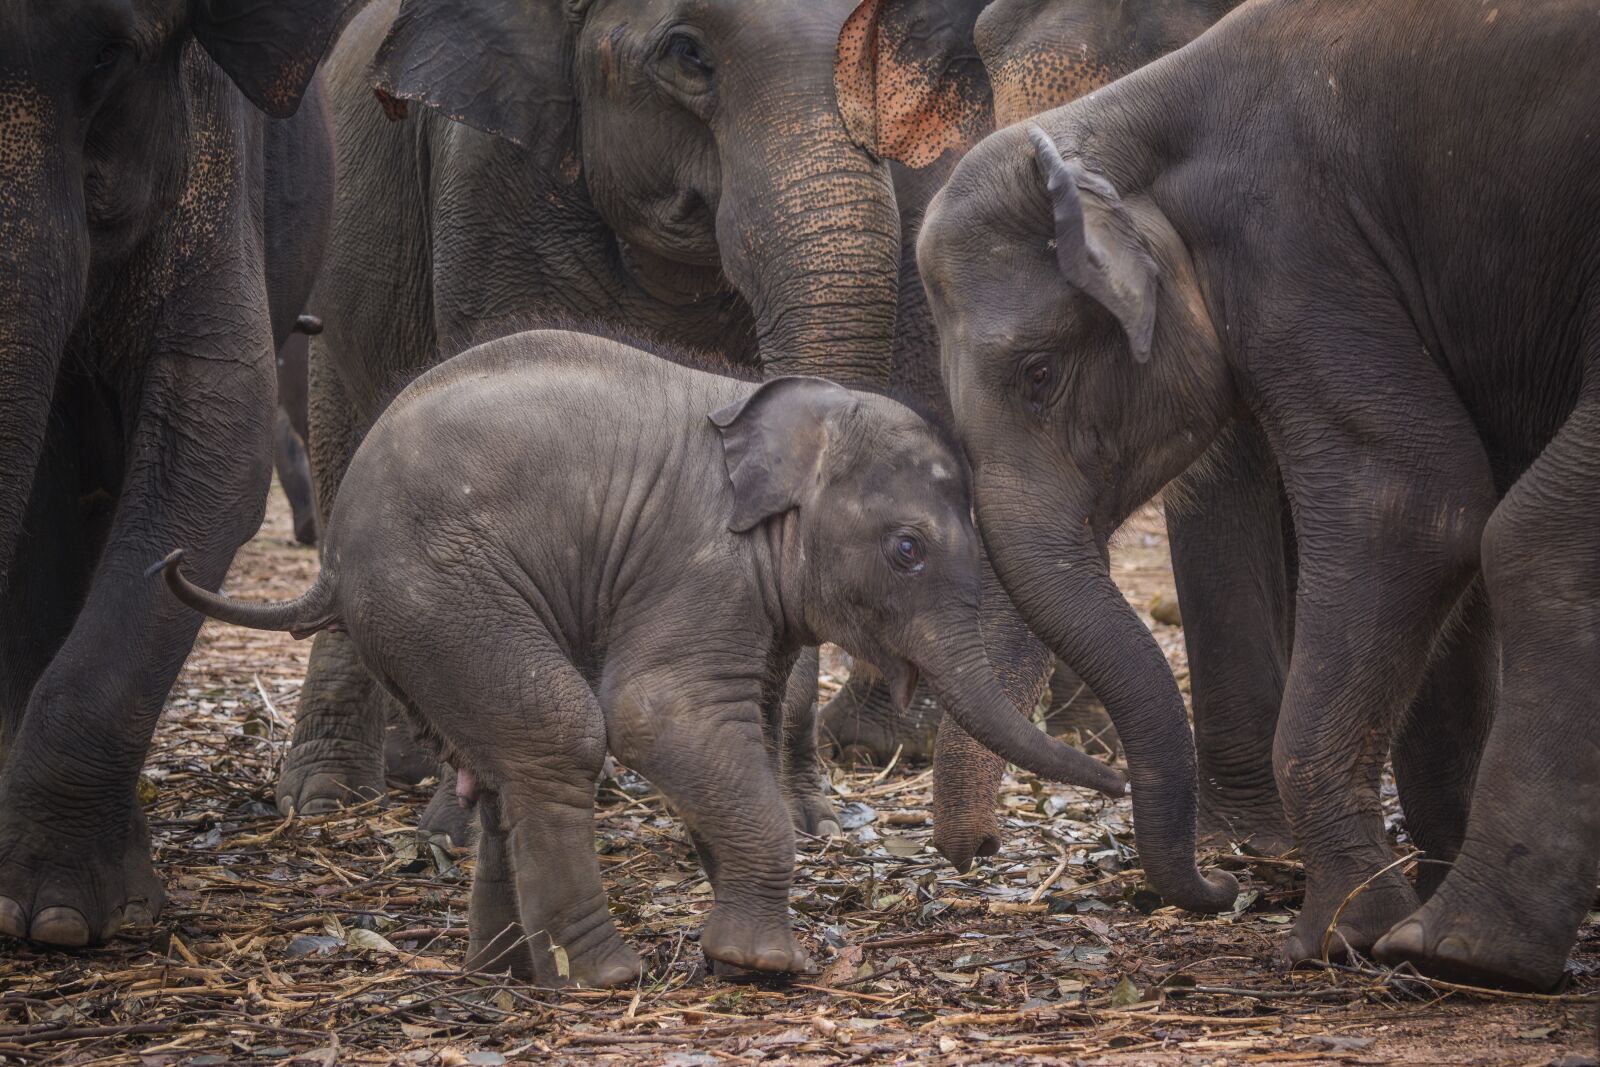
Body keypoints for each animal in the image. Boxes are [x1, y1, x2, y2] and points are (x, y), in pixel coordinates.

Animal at [157, 329, 1127, 986]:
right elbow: (660, 715)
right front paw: (764, 963)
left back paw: (509, 972)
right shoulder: (700, 567)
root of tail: (329, 562)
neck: (780, 415)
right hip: (437, 590)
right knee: (561, 733)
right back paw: (603, 976)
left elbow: (739, 731)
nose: (1120, 782)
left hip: (417, 621)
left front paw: (752, 947)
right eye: (908, 550)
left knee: (504, 765)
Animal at [918, 0, 1600, 989]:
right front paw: (1385, 910)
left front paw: (1339, 937)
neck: (1132, 119)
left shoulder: (1294, 246)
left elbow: (1410, 505)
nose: (1222, 886)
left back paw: (1466, 953)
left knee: (1534, 535)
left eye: (1040, 375)